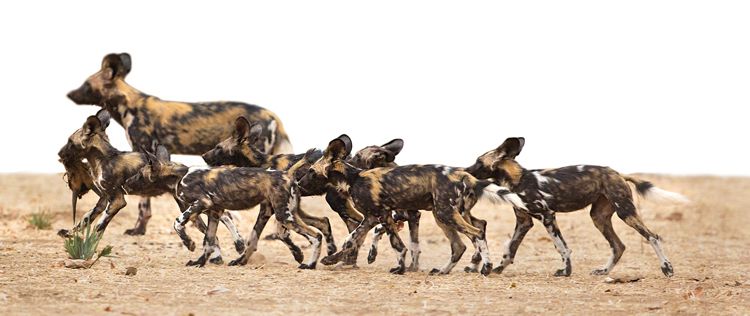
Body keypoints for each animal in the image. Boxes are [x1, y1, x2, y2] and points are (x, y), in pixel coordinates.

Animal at [58, 110, 247, 262]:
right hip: (189, 208)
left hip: (193, 205)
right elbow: (84, 220)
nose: (59, 154)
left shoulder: (117, 201)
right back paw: (220, 254)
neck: (103, 159)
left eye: (69, 142)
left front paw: (90, 246)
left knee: (225, 217)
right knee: (216, 226)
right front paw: (69, 234)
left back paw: (236, 246)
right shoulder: (104, 201)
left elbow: (98, 226)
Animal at [67, 51, 294, 235]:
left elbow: (143, 205)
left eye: (86, 85)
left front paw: (138, 230)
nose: (69, 94)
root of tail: (273, 116)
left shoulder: (144, 151)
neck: (129, 105)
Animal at [129, 156, 324, 270]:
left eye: (139, 174)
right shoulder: (214, 212)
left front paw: (189, 243)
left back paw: (310, 264)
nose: (125, 183)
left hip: (284, 216)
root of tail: (287, 173)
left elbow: (178, 223)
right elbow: (209, 241)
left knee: (316, 236)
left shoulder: (202, 203)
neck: (179, 176)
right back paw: (240, 261)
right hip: (271, 213)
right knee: (253, 241)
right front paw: (199, 262)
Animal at [300, 135, 528, 276]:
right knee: (460, 245)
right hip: (442, 216)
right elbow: (353, 240)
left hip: (447, 214)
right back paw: (443, 271)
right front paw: (332, 260)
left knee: (476, 233)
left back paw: (486, 267)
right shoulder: (373, 218)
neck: (353, 178)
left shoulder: (382, 216)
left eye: (311, 171)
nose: (298, 183)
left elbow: (393, 244)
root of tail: (463, 174)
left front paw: (400, 268)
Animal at [468, 137, 692, 276]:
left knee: (652, 237)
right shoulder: (524, 222)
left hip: (625, 212)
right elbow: (510, 248)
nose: (465, 170)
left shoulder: (548, 216)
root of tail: (618, 173)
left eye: (478, 162)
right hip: (599, 217)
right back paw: (603, 271)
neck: (518, 180)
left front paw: (565, 271)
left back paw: (667, 268)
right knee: (618, 246)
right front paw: (498, 268)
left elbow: (562, 247)